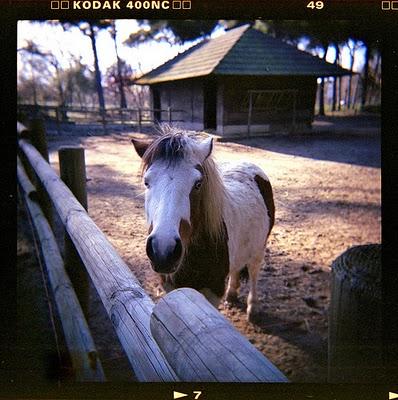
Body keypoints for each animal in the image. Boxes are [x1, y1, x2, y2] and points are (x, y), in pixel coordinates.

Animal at [131, 128, 274, 322]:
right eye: (147, 182)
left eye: (198, 184)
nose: (163, 250)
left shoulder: (213, 291)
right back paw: (231, 294)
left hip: (258, 250)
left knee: (253, 273)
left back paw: (253, 307)